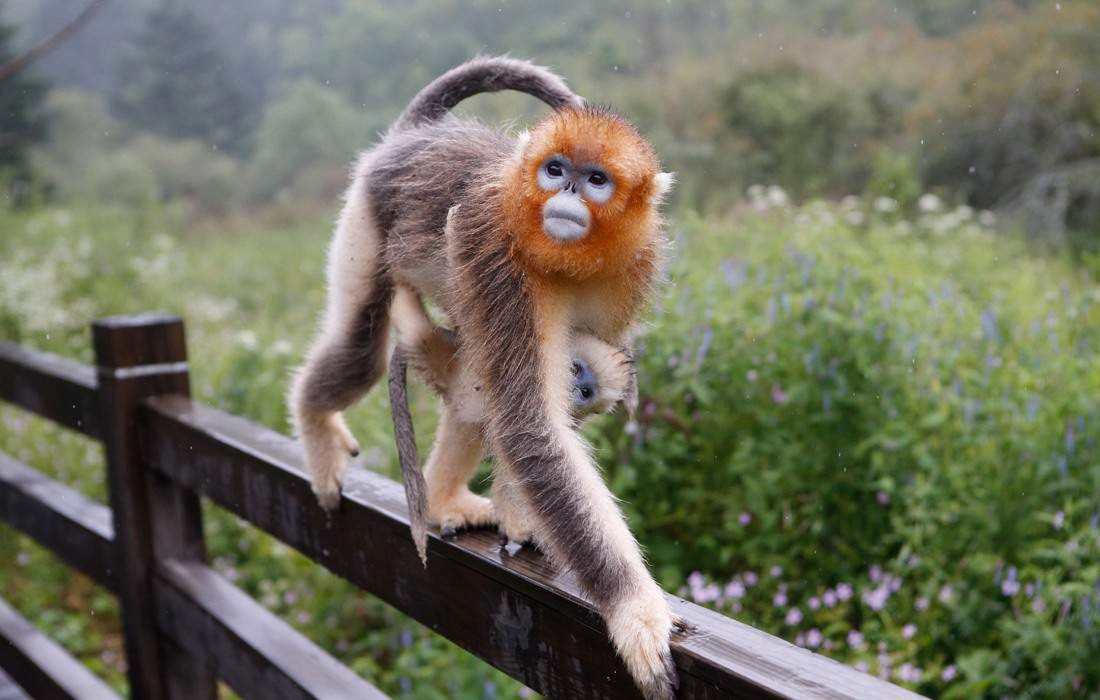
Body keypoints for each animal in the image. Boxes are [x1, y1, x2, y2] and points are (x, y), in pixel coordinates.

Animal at [297, 57, 682, 695]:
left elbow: (545, 412)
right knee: (362, 349)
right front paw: (633, 609)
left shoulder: (630, 270)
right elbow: (530, 424)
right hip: (365, 219)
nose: (567, 192)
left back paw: (443, 496)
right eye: (555, 170)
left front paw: (522, 517)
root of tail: (414, 137)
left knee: (474, 394)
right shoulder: (502, 258)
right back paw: (315, 421)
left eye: (596, 179)